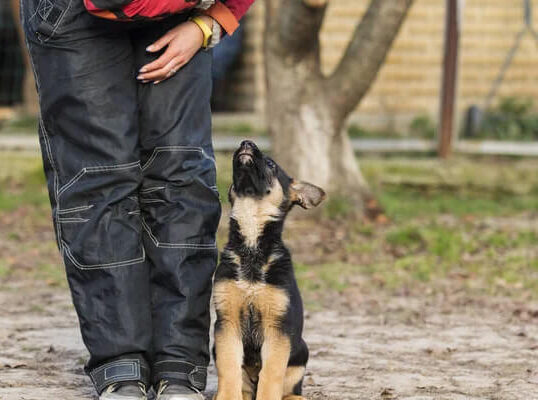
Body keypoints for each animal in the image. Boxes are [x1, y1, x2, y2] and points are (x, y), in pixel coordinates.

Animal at [213, 141, 322, 400]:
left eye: (271, 164)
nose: (246, 143)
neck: (252, 247)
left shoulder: (277, 329)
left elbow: (271, 375)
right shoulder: (227, 324)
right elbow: (228, 369)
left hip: (300, 352)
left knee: (290, 390)